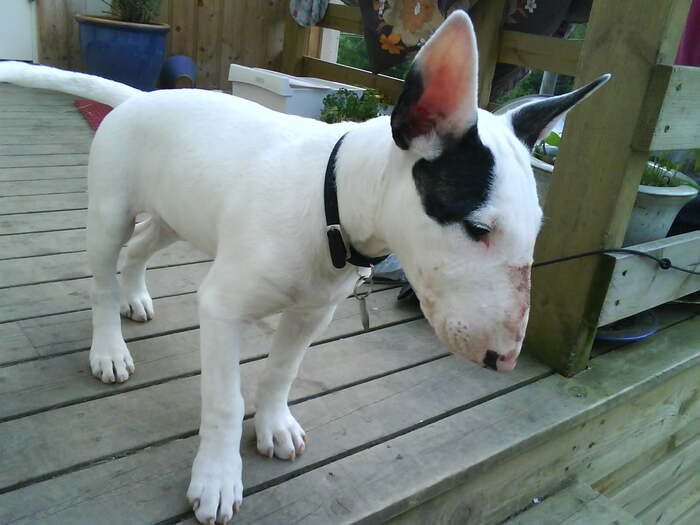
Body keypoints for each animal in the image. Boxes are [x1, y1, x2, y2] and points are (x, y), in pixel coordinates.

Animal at [0, 11, 609, 524]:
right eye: (478, 228)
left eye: (535, 231)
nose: (503, 360)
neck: (331, 204)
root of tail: (137, 99)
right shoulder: (221, 308)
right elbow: (225, 400)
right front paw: (217, 479)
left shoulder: (314, 314)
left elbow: (280, 372)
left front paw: (274, 427)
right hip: (110, 211)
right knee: (103, 276)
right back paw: (109, 346)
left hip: (177, 212)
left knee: (139, 250)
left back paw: (136, 297)